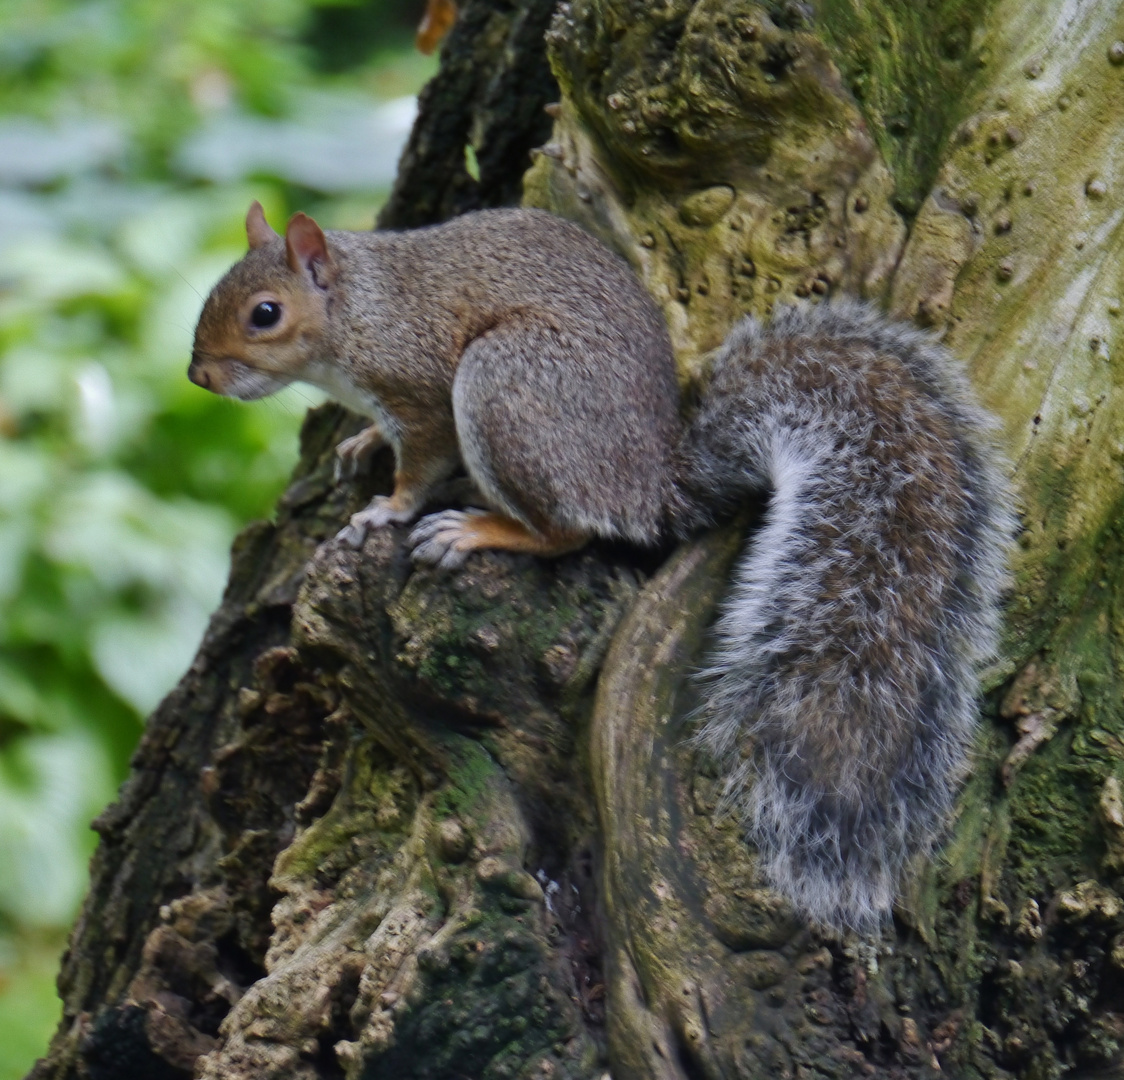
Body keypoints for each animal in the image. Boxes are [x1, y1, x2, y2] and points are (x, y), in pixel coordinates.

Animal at [191, 204, 1020, 935]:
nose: (200, 377)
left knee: (565, 532)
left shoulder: (420, 386)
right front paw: (362, 442)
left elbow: (421, 463)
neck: (360, 307)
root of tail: (650, 481)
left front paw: (385, 510)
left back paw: (479, 529)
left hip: (507, 385)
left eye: (265, 313)